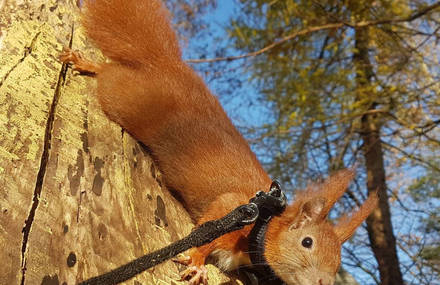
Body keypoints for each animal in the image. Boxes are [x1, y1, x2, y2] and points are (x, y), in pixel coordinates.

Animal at [61, 0, 378, 284]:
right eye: (307, 242)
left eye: (338, 259)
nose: (324, 281)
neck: (264, 226)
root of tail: (165, 65)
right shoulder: (232, 207)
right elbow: (207, 231)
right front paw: (197, 260)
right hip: (125, 99)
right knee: (109, 73)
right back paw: (87, 64)